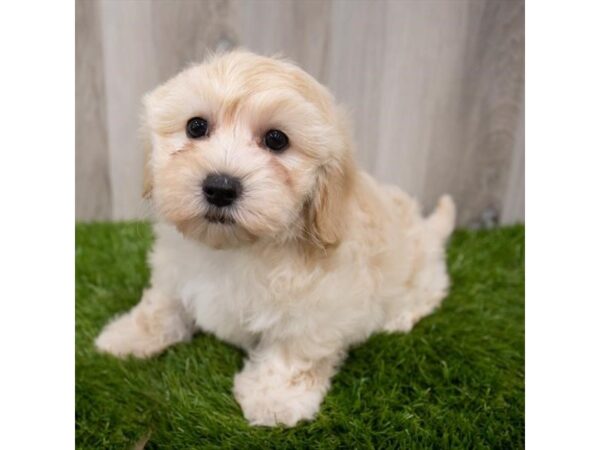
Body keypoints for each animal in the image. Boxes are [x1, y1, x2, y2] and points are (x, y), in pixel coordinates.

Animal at [96, 51, 454, 428]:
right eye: (196, 127)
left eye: (276, 139)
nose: (220, 187)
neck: (236, 248)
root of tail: (430, 229)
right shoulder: (175, 269)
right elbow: (161, 306)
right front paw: (127, 335)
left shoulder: (321, 304)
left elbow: (293, 349)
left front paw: (275, 398)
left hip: (420, 273)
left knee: (427, 294)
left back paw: (399, 318)